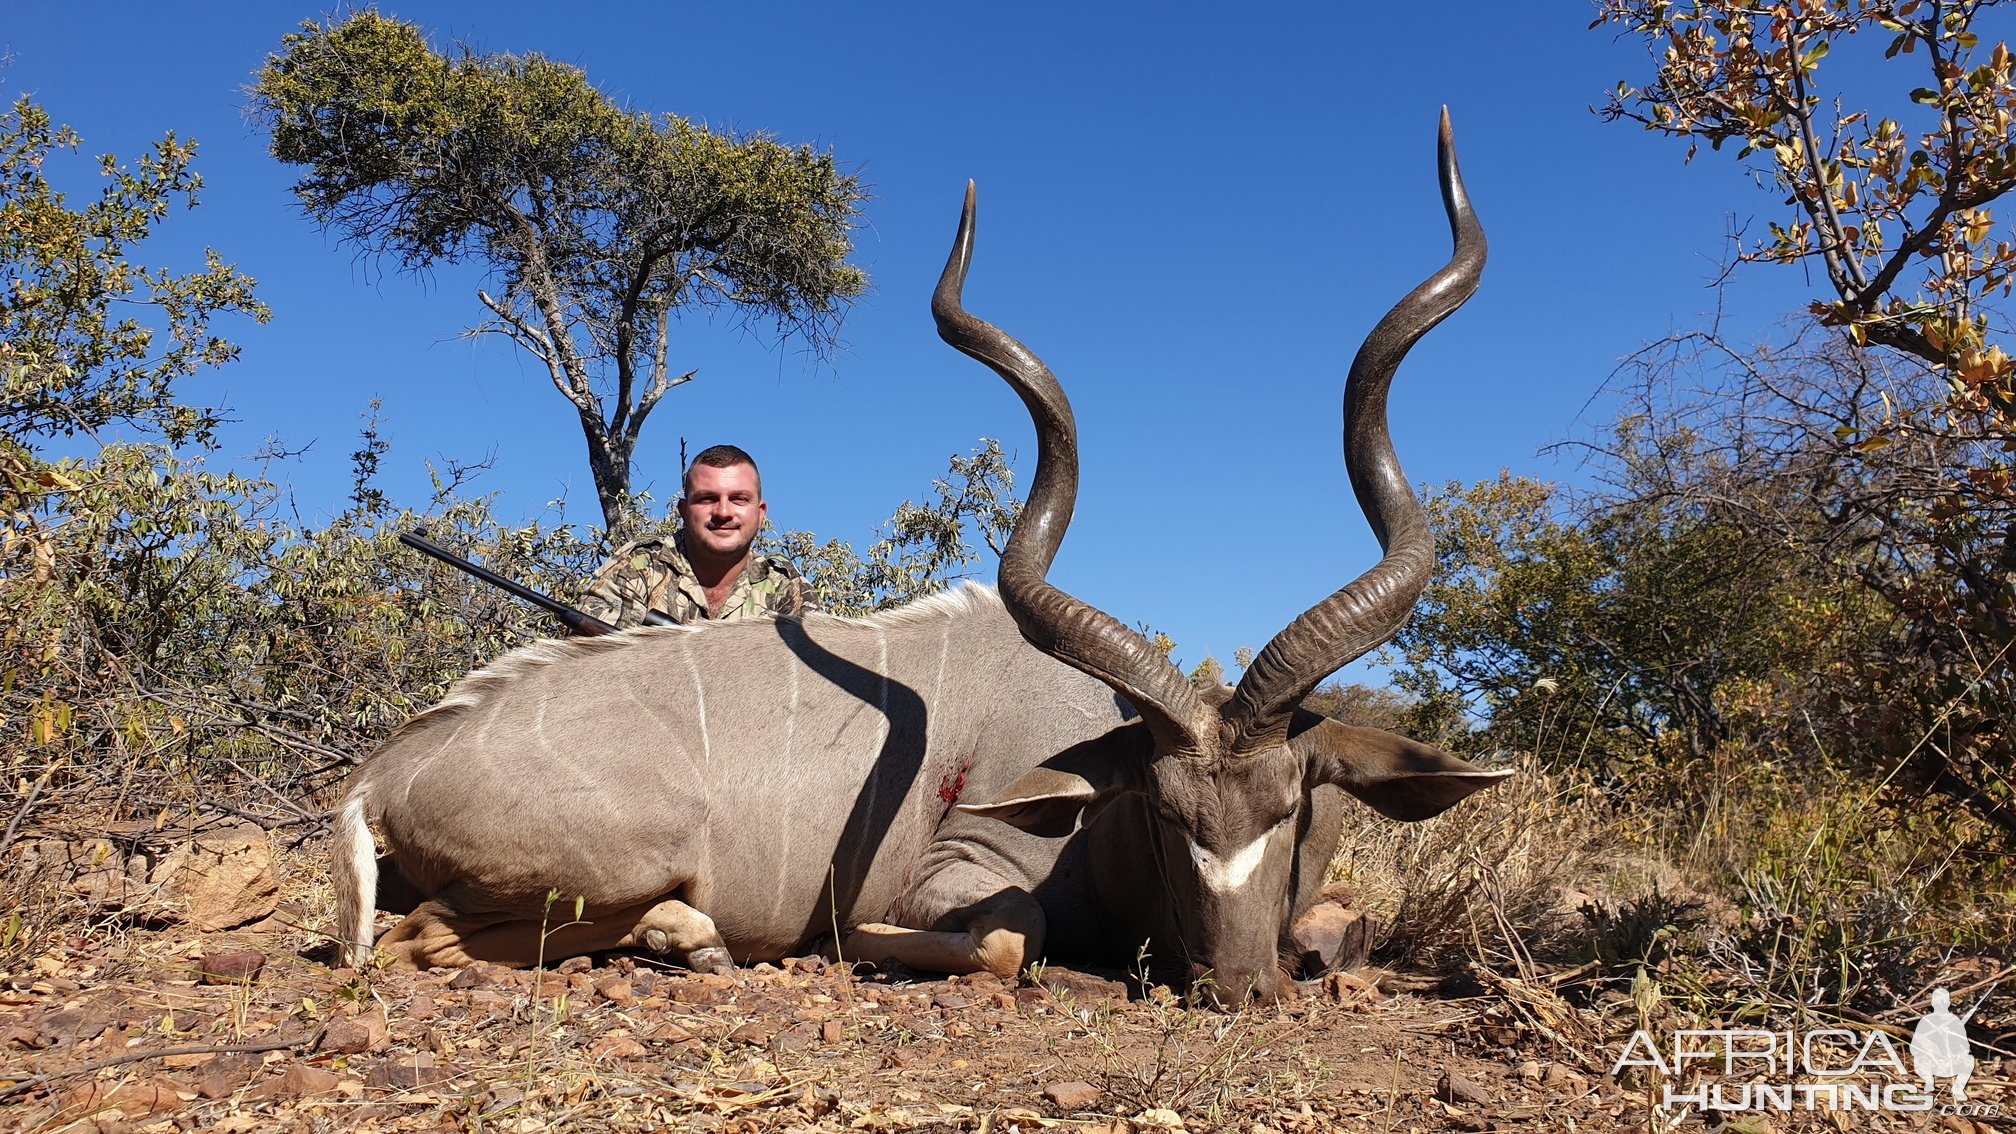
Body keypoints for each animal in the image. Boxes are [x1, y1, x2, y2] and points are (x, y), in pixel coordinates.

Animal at [334, 112, 1499, 996]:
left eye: (1288, 806)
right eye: (1164, 815)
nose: (1238, 988)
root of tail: (383, 774)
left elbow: (1340, 927)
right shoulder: (964, 872)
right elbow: (1005, 939)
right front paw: (850, 941)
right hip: (618, 856)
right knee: (416, 938)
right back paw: (694, 937)